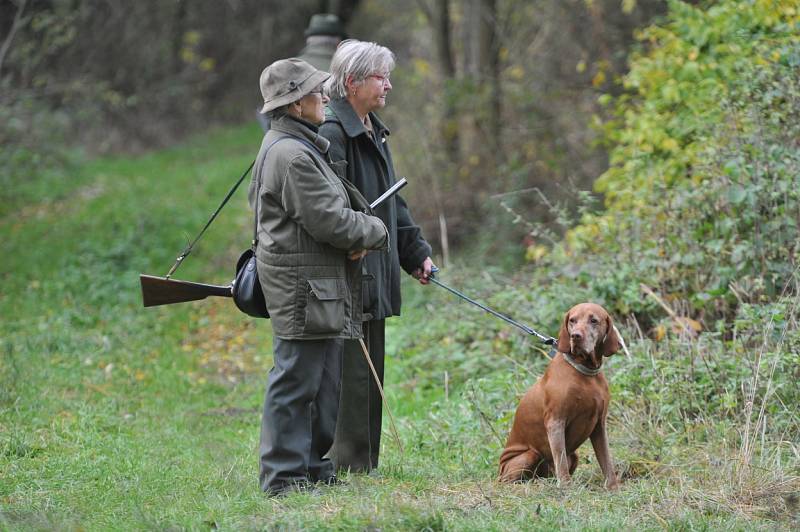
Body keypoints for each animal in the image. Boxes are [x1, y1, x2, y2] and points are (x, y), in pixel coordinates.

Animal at [496, 302, 620, 488]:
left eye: (593, 320)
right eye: (572, 320)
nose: (576, 336)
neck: (585, 372)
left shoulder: (599, 425)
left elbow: (606, 461)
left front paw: (612, 488)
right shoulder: (555, 422)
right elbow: (560, 461)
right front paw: (567, 488)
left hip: (573, 456)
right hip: (528, 455)